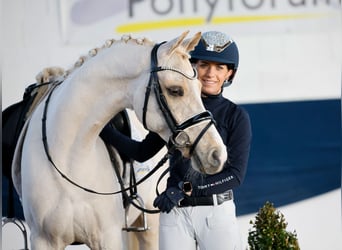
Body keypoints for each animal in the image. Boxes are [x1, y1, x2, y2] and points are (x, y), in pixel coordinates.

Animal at [11, 31, 227, 250]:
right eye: (175, 90)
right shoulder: (43, 240)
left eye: (199, 87)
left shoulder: (107, 237)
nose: (217, 154)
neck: (67, 157)